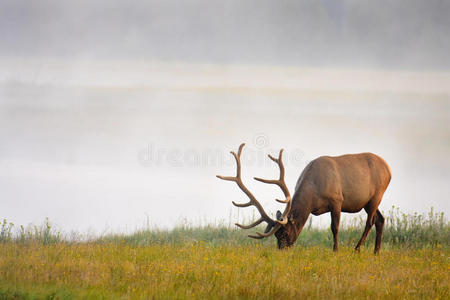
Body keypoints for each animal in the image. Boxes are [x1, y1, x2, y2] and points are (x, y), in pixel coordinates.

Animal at [217, 143, 390, 253]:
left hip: (377, 195)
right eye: (276, 235)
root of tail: (389, 169)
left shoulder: (337, 201)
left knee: (370, 221)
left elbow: (334, 227)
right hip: (369, 202)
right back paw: (376, 251)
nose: (282, 251)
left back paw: (357, 249)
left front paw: (335, 251)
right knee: (380, 219)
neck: (313, 194)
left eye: (285, 233)